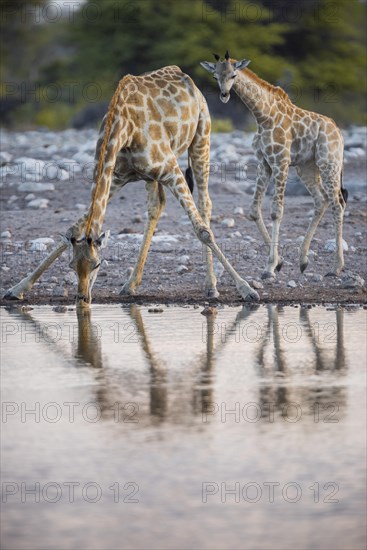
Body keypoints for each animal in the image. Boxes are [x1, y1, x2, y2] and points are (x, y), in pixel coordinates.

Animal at [4, 66, 260, 306]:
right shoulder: (116, 176)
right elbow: (73, 228)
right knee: (157, 206)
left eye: (98, 264)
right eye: (71, 265)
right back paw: (130, 284)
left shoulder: (171, 170)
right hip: (151, 176)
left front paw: (247, 290)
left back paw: (211, 286)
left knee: (204, 203)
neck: (123, 128)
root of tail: (187, 78)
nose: (83, 298)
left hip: (201, 138)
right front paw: (17, 289)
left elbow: (202, 231)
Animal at [201, 51, 348, 280]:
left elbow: (276, 211)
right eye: (215, 76)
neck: (263, 116)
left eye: (234, 75)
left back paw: (337, 266)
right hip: (306, 167)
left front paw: (269, 267)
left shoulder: (281, 161)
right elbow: (253, 210)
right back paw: (303, 261)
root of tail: (339, 132)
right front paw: (279, 262)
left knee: (337, 204)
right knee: (321, 200)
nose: (224, 95)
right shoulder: (264, 163)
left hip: (329, 163)